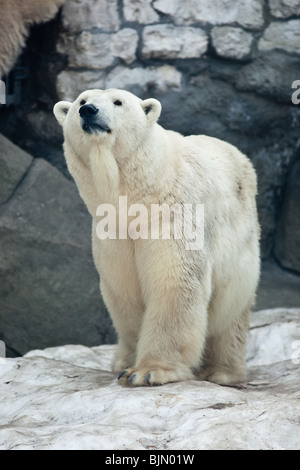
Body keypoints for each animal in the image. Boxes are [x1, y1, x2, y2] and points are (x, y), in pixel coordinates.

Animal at [54, 88, 260, 386]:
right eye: (81, 101)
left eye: (118, 102)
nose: (89, 111)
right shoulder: (112, 233)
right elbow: (124, 291)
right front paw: (127, 365)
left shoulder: (174, 215)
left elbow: (173, 282)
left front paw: (148, 371)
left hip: (241, 248)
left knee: (230, 310)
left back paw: (221, 371)